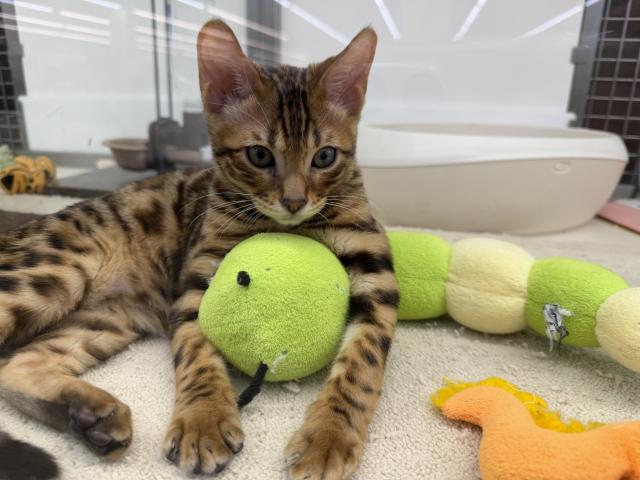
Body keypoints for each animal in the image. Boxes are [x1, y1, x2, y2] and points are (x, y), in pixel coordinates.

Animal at [0, 20, 398, 480]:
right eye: (259, 155)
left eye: (326, 156)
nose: (295, 201)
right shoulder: (198, 277)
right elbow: (196, 351)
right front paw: (203, 420)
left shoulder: (376, 276)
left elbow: (362, 365)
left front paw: (329, 436)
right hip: (52, 272)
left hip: (102, 319)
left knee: (15, 364)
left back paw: (91, 416)